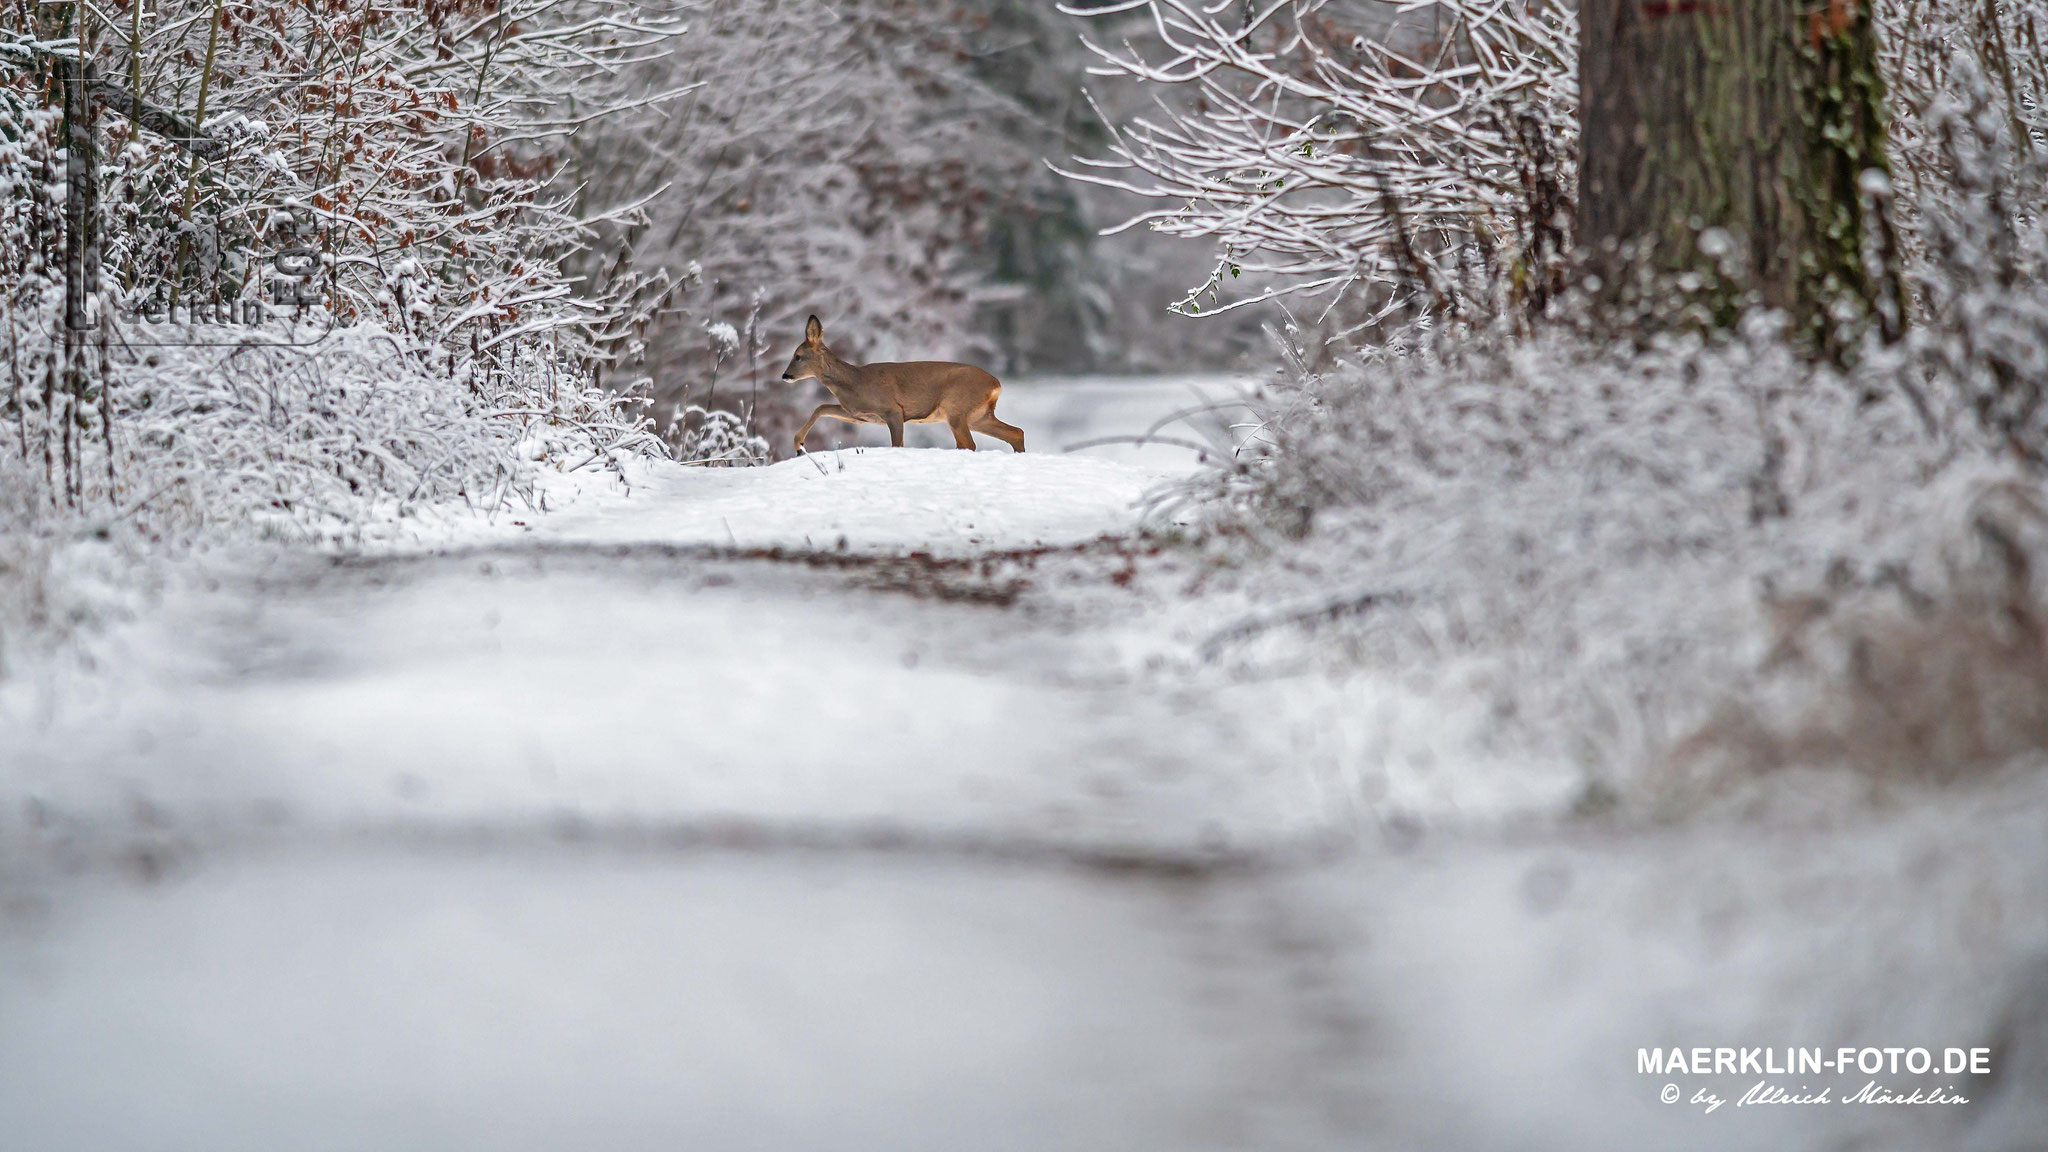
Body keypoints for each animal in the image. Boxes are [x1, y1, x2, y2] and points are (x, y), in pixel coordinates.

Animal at [774, 317, 1024, 457]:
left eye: (798, 356)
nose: (785, 376)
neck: (855, 381)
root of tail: (996, 384)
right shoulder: (859, 416)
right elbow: (822, 407)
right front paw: (798, 444)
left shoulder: (893, 410)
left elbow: (897, 445)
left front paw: (799, 444)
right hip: (978, 415)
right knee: (1016, 432)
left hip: (956, 408)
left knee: (969, 444)